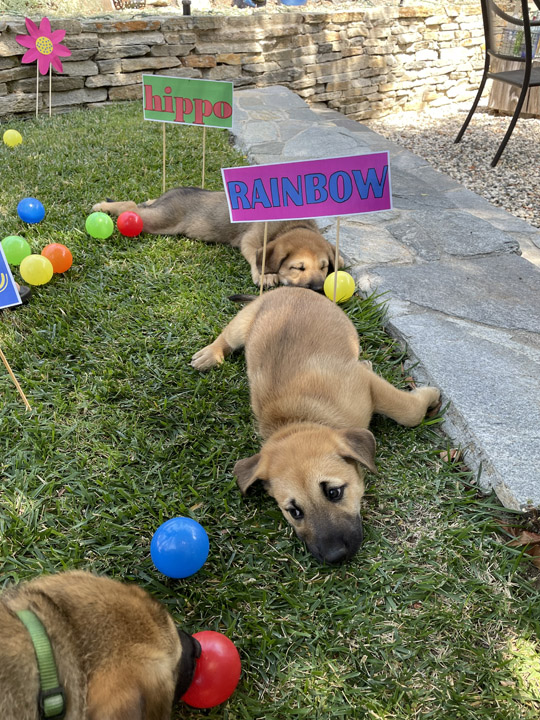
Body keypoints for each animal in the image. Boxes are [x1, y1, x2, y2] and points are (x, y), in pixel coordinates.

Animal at [90, 187, 340, 292]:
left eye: (324, 267)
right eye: (298, 267)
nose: (320, 289)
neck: (292, 225)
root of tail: (172, 193)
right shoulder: (250, 240)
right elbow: (255, 256)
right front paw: (265, 275)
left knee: (141, 203)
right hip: (158, 220)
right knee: (131, 206)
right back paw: (102, 207)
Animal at [192, 290, 440, 564]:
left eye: (334, 493)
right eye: (294, 511)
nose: (335, 557)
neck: (299, 419)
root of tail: (286, 289)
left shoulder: (365, 384)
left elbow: (409, 412)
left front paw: (431, 394)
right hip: (243, 324)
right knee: (226, 336)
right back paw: (210, 354)